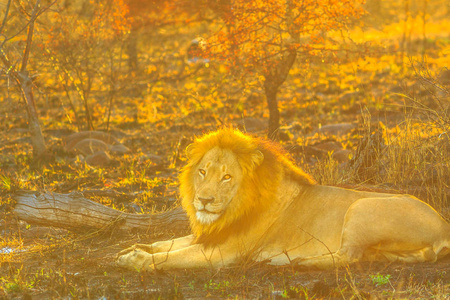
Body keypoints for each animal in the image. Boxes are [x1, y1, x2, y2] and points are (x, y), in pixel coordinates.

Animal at [118, 129, 450, 270]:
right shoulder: (212, 235)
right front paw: (133, 248)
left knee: (349, 257)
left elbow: (172, 256)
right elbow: (170, 243)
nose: (203, 200)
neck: (233, 210)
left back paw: (294, 261)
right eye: (202, 171)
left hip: (361, 206)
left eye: (227, 177)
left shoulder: (225, 251)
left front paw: (137, 259)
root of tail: (443, 227)